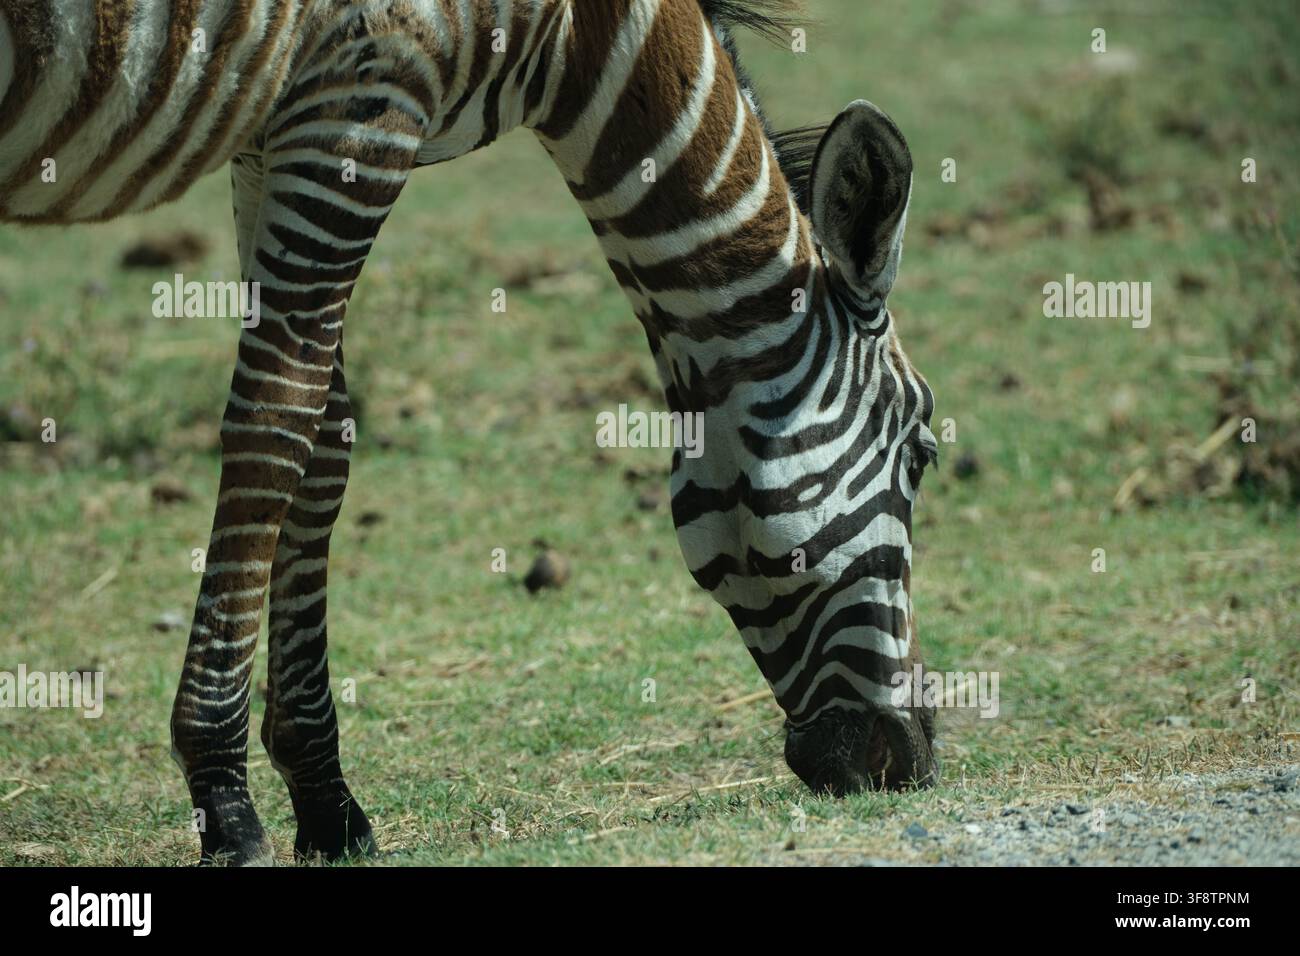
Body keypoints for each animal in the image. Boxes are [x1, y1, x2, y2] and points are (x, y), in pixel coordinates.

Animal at [0, 0, 940, 865]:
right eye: (924, 454)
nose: (917, 761)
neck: (572, 36)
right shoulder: (361, 98)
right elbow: (277, 424)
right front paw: (224, 798)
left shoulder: (274, 131)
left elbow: (327, 443)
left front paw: (324, 796)